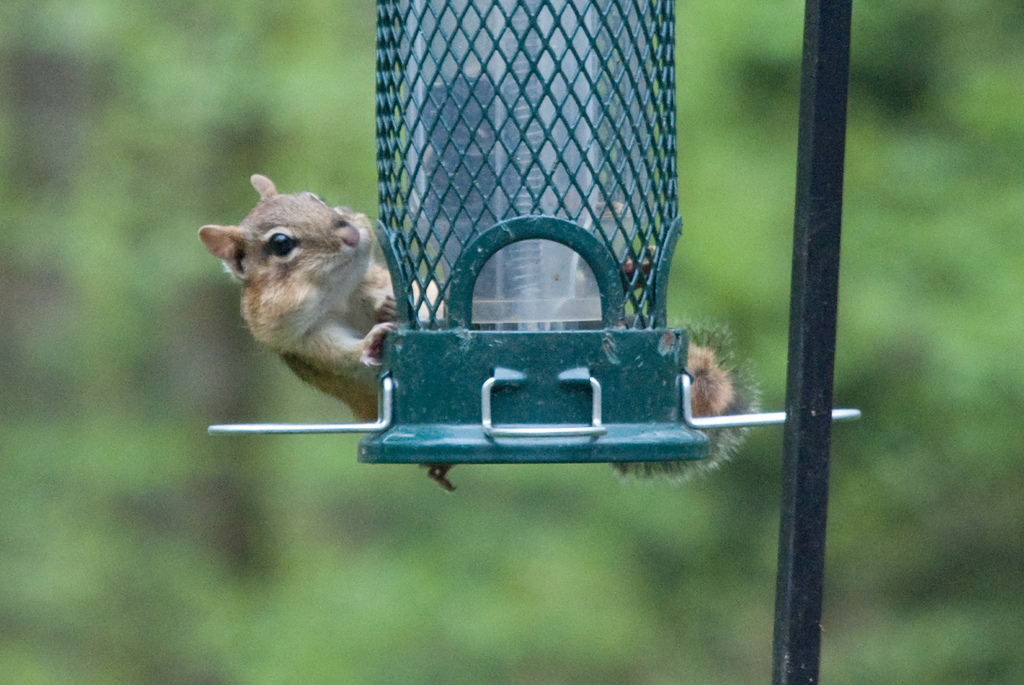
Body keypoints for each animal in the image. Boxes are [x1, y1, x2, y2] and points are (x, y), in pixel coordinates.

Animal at [199, 174, 397, 422]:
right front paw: (370, 341)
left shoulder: (369, 282)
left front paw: (389, 305)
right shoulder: (302, 339)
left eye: (320, 200)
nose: (352, 235)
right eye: (280, 243)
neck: (337, 294)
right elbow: (339, 355)